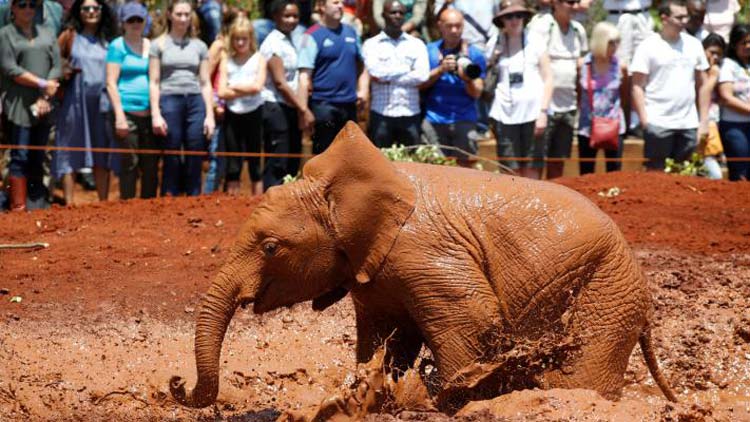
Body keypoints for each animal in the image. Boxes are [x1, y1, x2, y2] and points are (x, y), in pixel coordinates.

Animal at [172, 120, 680, 410]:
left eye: (271, 248)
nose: (177, 386)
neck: (344, 194)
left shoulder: (424, 255)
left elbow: (473, 325)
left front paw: (446, 400)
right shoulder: (377, 273)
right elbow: (386, 339)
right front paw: (372, 393)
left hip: (605, 291)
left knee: (578, 378)